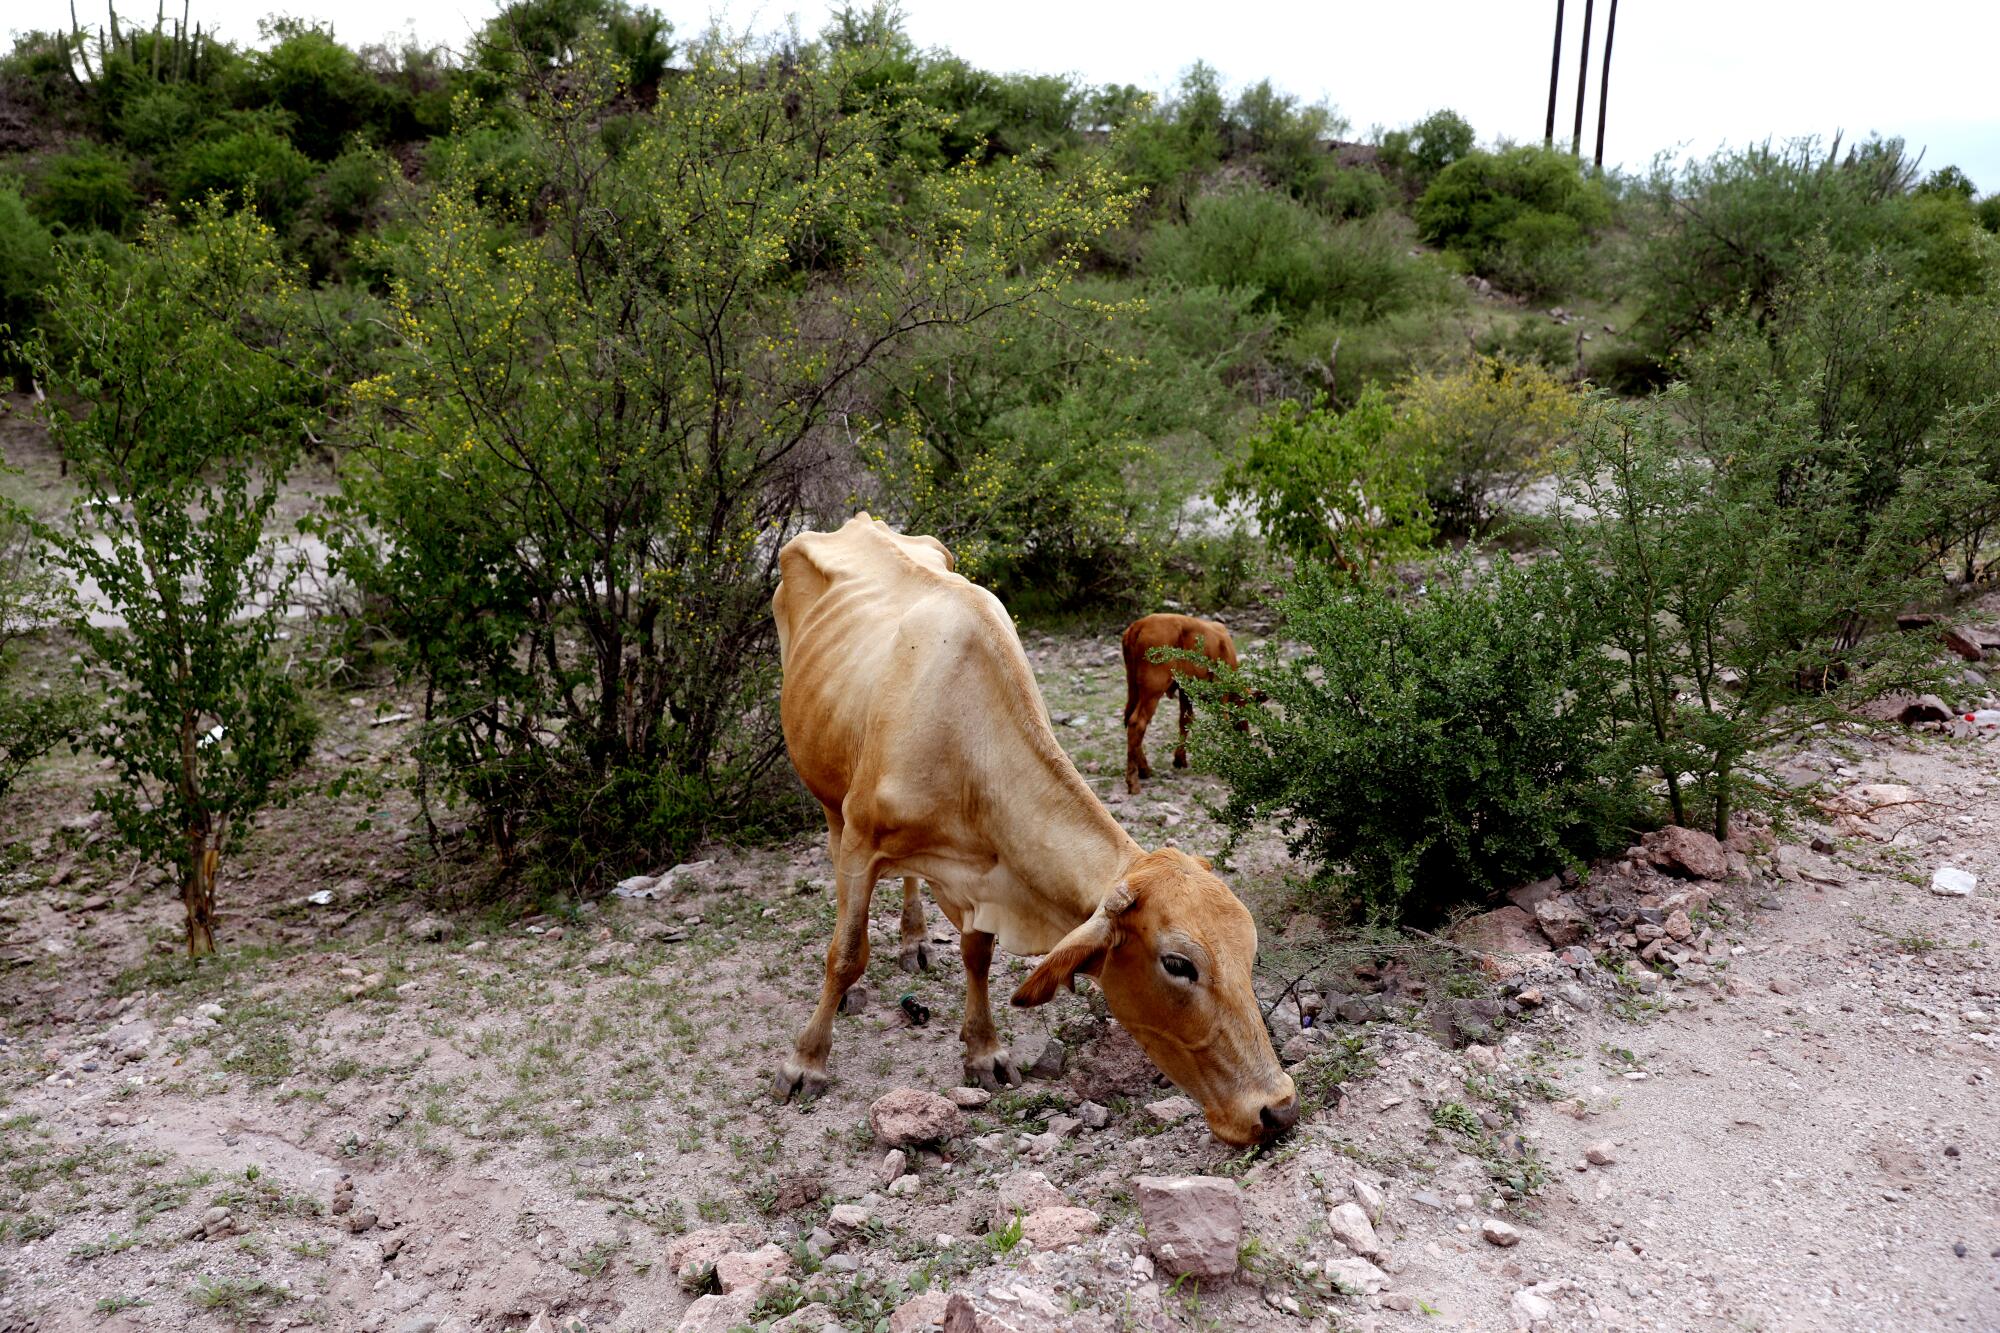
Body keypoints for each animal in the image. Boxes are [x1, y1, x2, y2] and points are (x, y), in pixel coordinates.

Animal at [1120, 608, 1240, 792]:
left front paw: (1180, 759)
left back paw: (1144, 769)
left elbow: (1185, 720)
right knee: (1137, 723)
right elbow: (1224, 721)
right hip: (1152, 689)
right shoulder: (1221, 690)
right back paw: (1133, 781)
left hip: (1133, 686)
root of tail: (1139, 625)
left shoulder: (1185, 689)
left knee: (1128, 719)